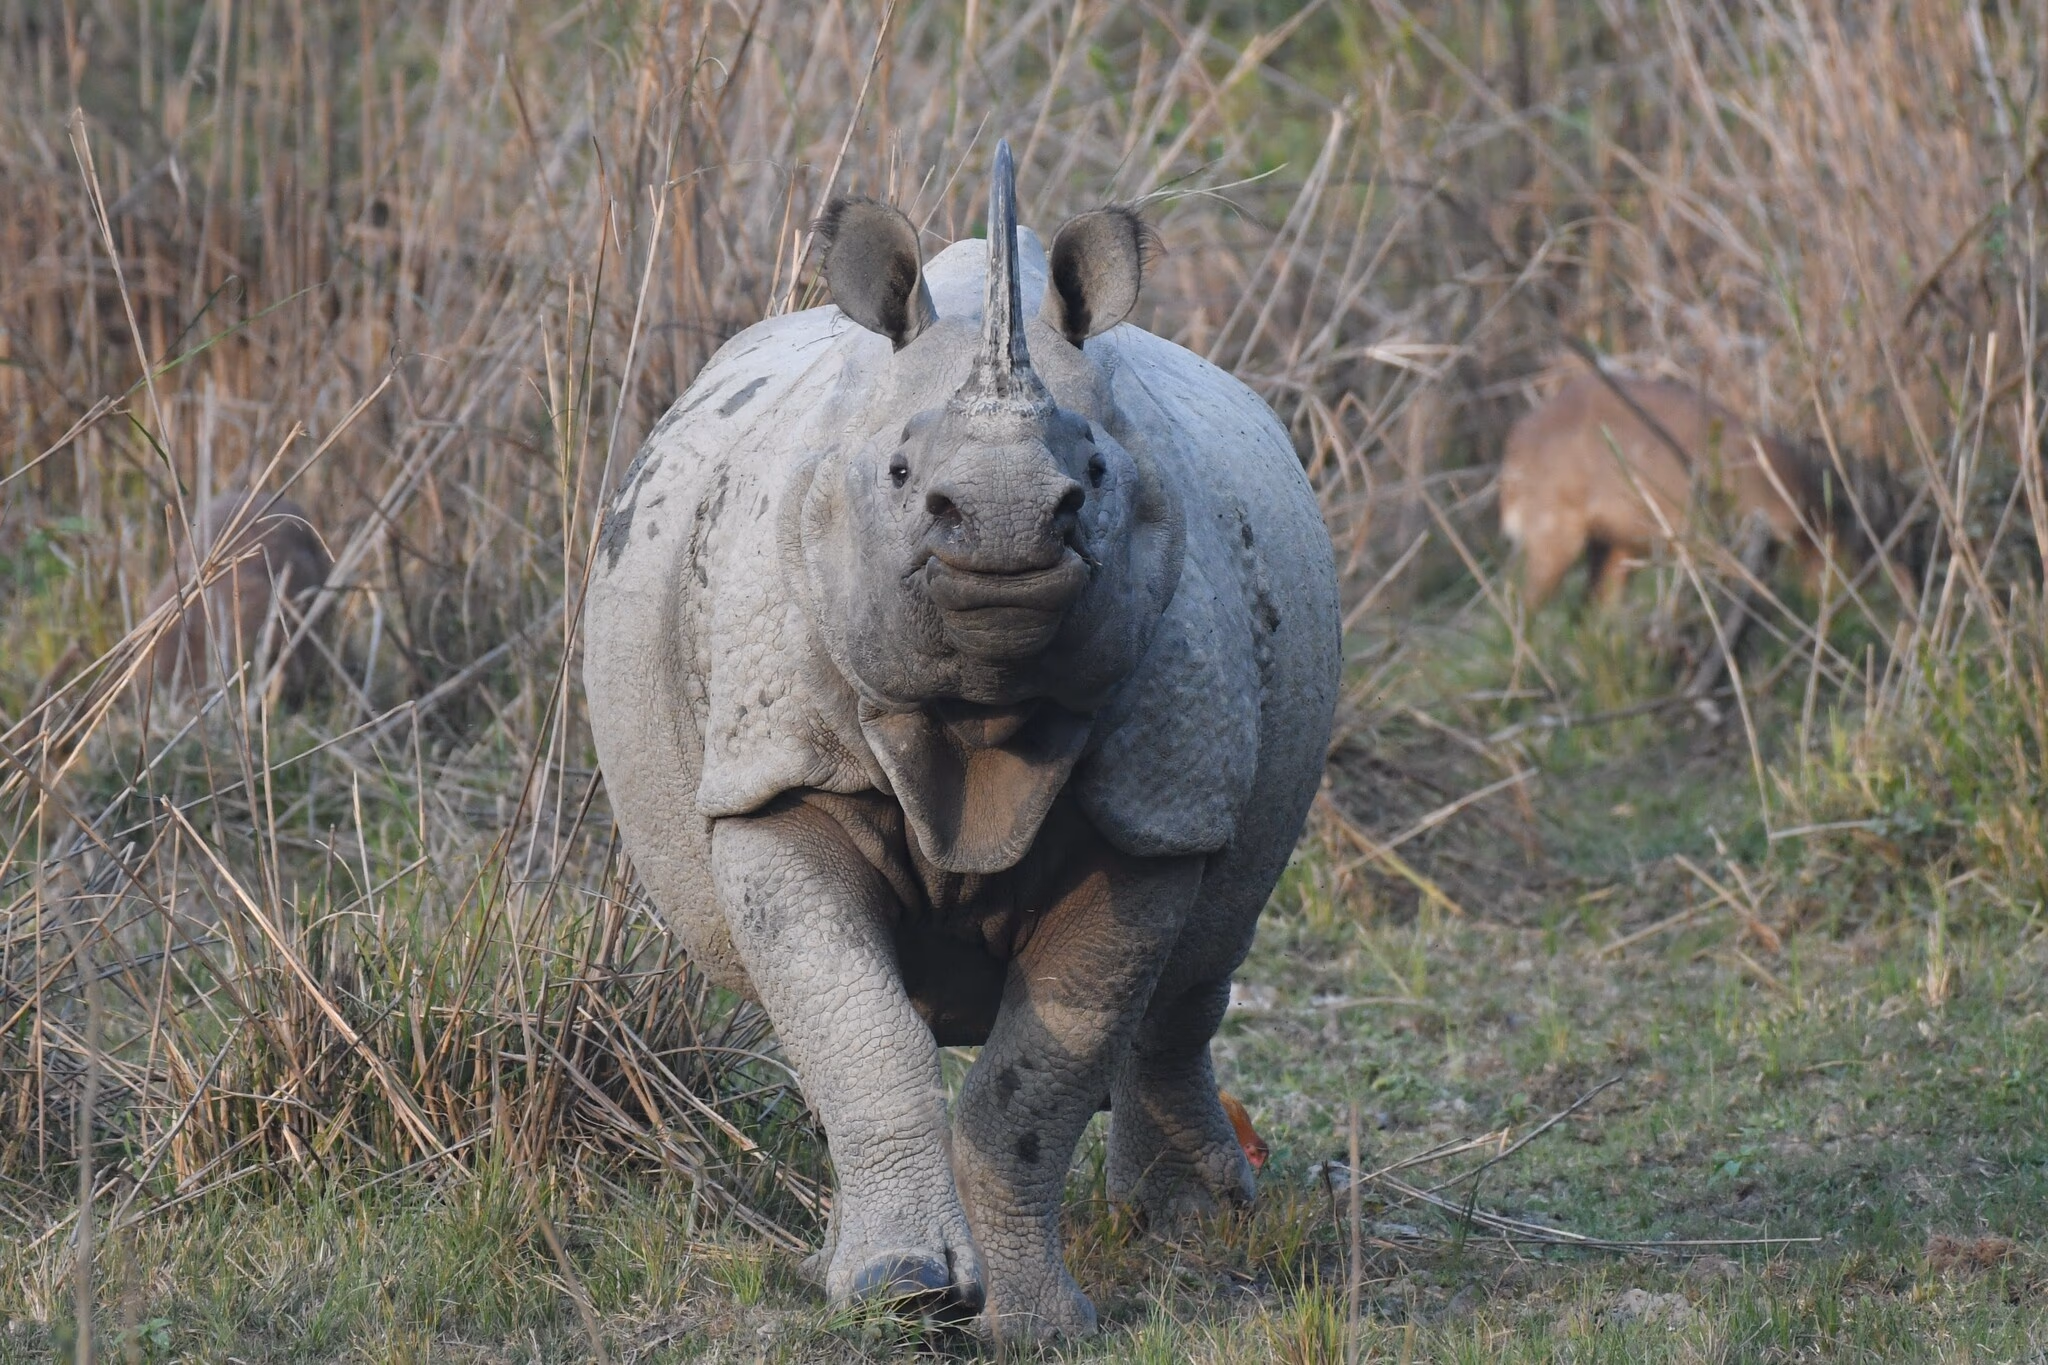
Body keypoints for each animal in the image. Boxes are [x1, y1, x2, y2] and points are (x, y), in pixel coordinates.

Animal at [583, 143, 1338, 1340]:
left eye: (1096, 477)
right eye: (899, 478)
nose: (1005, 526)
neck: (982, 714)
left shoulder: (1152, 809)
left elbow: (1033, 1078)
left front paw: (1036, 1324)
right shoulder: (776, 777)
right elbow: (860, 1030)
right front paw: (902, 1291)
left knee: (1198, 969)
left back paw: (1191, 1230)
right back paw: (849, 1263)